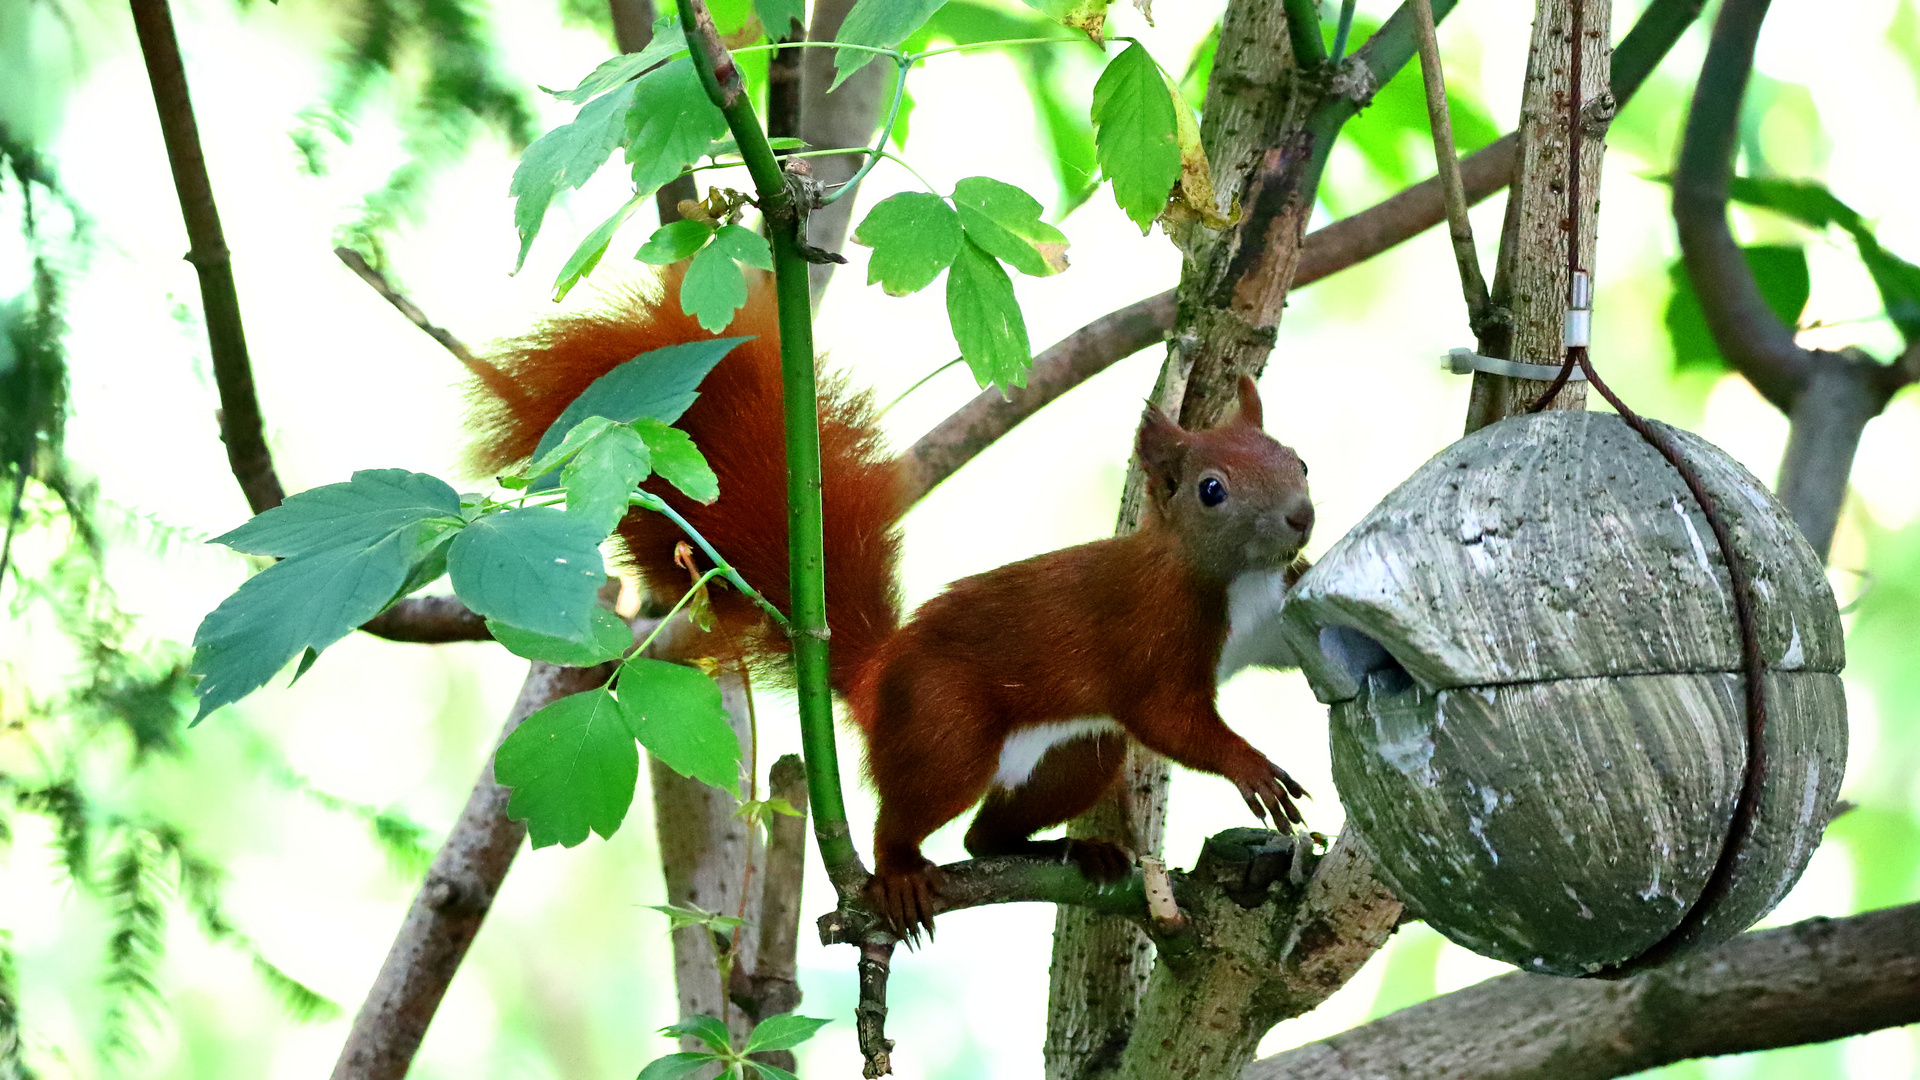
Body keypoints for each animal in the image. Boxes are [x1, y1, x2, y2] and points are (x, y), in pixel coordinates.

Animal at [470, 269, 1313, 933]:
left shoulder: (1267, 624)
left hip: (1072, 754)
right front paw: (1253, 769)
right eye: (1212, 491)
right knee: (916, 813)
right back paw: (901, 870)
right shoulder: (1153, 635)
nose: (1302, 517)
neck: (1235, 584)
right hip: (948, 731)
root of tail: (880, 677)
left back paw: (1077, 847)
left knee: (986, 836)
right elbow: (1172, 720)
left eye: (1297, 459)